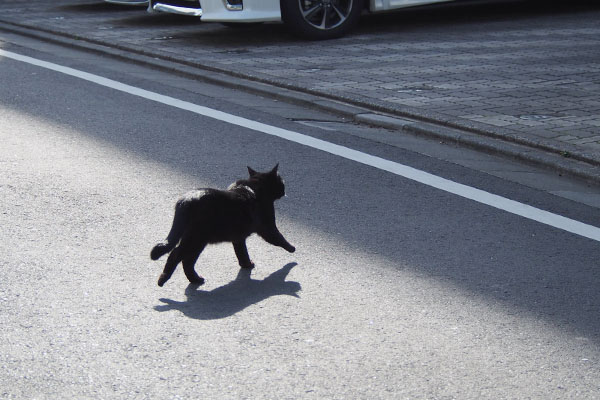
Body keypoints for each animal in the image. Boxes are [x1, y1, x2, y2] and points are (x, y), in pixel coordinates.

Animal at [150, 165, 296, 288]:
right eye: (282, 182)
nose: (285, 190)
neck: (254, 186)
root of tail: (185, 201)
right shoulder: (267, 227)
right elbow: (279, 239)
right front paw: (292, 249)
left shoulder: (238, 237)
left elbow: (241, 252)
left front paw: (246, 264)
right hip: (196, 239)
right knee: (175, 255)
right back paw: (163, 279)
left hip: (196, 241)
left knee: (187, 261)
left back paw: (195, 279)